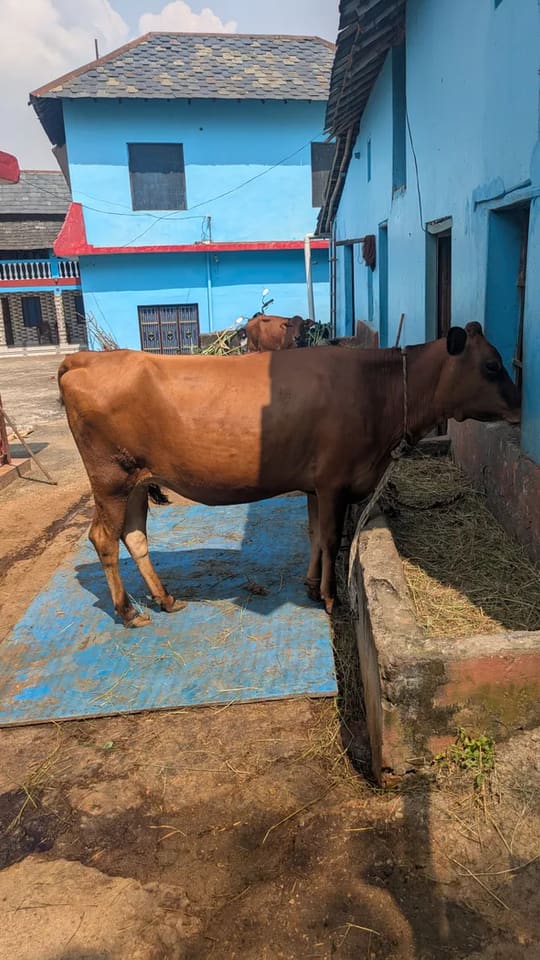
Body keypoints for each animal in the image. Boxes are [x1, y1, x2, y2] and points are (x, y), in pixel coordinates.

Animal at [58, 322, 520, 628]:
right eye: (492, 365)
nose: (520, 406)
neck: (379, 389)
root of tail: (84, 359)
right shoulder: (334, 481)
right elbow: (331, 538)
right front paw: (332, 598)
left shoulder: (316, 484)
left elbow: (314, 534)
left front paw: (311, 585)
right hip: (111, 480)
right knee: (103, 538)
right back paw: (127, 611)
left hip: (136, 481)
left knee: (134, 536)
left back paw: (165, 598)